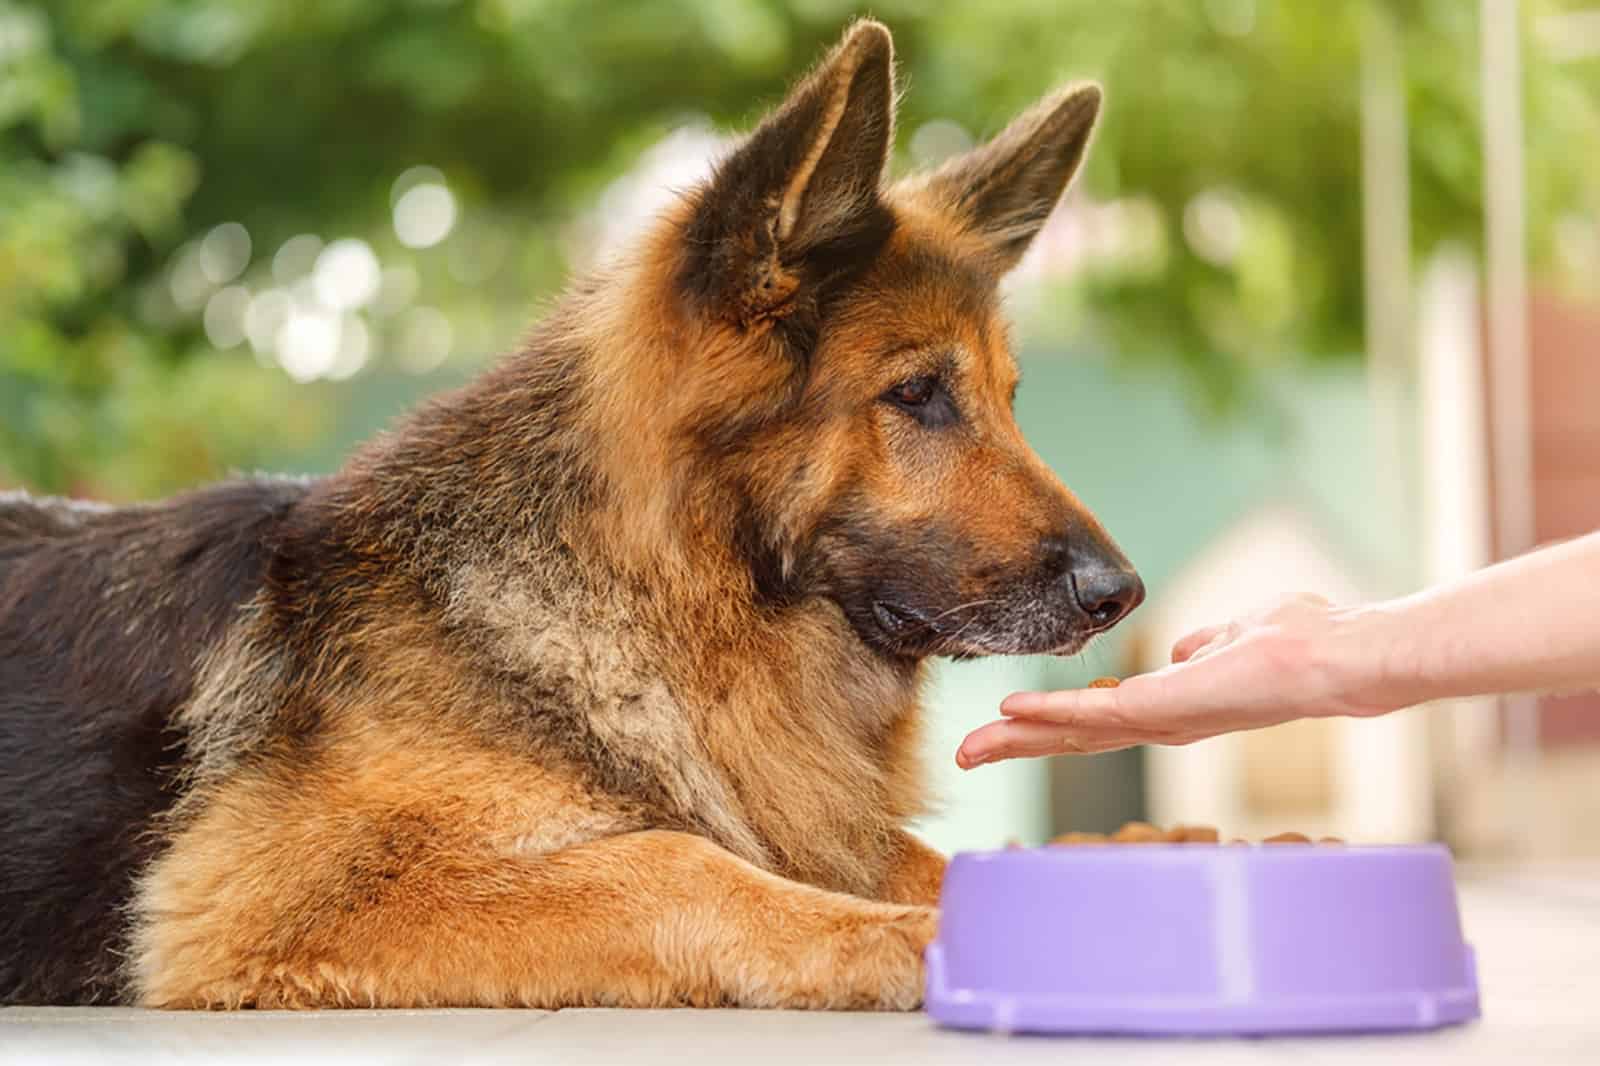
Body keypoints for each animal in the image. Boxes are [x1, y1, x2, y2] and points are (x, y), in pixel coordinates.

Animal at [0, 22, 1139, 1005]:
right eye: (916, 394)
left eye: (1008, 396)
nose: (1118, 595)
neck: (642, 594)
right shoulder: (270, 903)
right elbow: (677, 860)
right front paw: (897, 937)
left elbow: (917, 853)